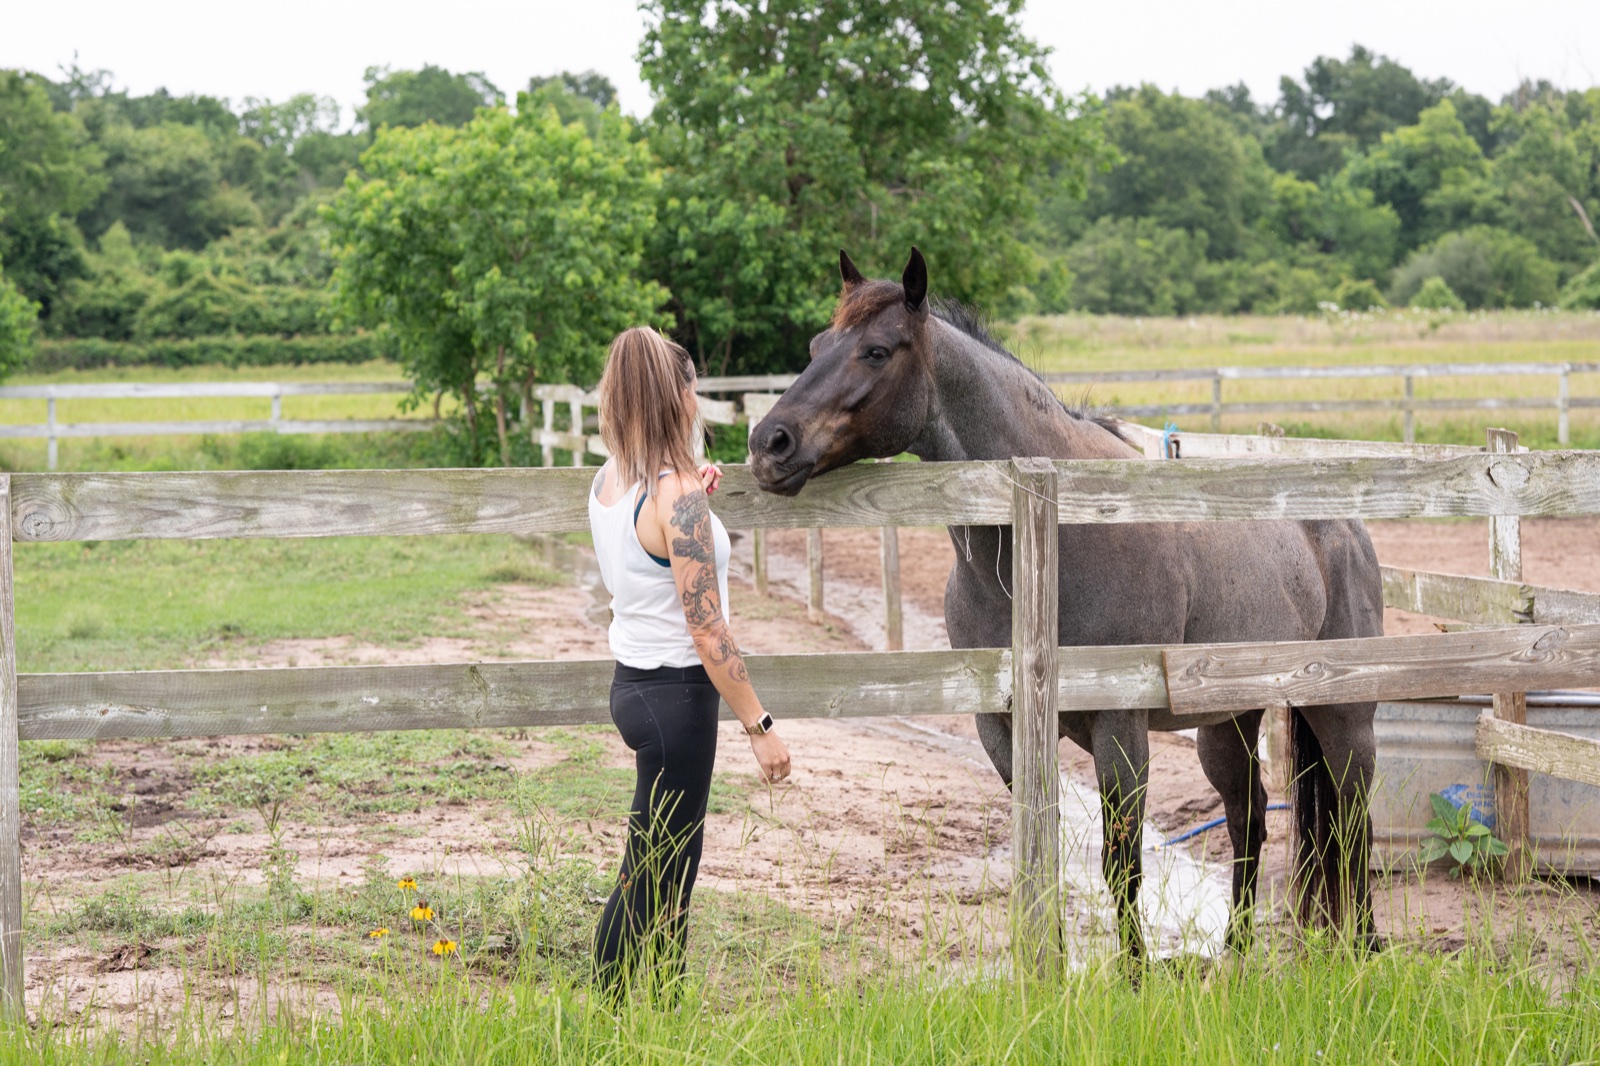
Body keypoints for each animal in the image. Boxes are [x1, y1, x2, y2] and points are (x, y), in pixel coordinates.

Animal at [747, 247, 1384, 960]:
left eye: (877, 351)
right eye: (816, 345)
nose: (769, 443)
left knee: (1353, 820)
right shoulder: (1002, 726)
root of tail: (1345, 526)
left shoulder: (1119, 726)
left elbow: (1120, 860)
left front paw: (1133, 971)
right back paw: (1237, 952)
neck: (1047, 540)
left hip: (1342, 713)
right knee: (1249, 817)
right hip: (1230, 720)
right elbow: (1040, 844)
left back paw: (1365, 946)